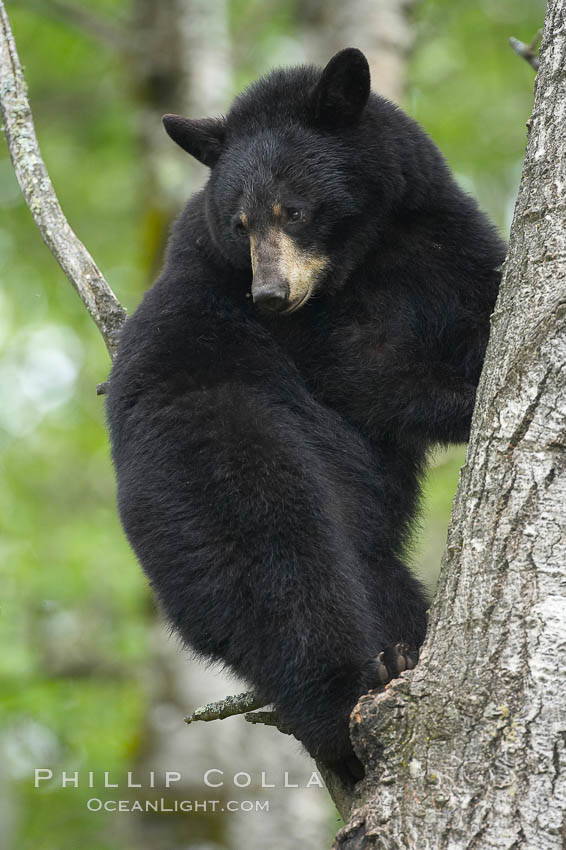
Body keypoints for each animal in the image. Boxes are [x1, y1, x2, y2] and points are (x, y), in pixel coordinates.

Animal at [106, 48, 506, 783]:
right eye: (239, 222)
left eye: (292, 209)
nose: (268, 293)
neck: (364, 257)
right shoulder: (308, 338)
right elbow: (368, 375)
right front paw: (461, 398)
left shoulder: (438, 240)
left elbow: (480, 305)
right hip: (223, 473)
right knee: (284, 572)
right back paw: (350, 694)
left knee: (377, 577)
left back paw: (402, 651)